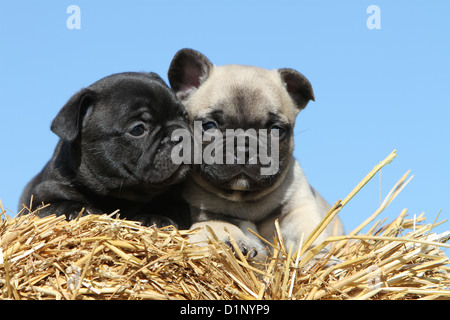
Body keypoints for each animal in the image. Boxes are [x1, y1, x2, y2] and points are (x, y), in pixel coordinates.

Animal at [19, 72, 191, 228]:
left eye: (184, 117)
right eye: (138, 129)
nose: (181, 135)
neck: (116, 195)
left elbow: (168, 207)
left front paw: (154, 217)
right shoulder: (42, 196)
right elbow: (54, 206)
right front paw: (78, 210)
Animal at [167, 48, 342, 256]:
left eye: (276, 130)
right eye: (210, 126)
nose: (243, 150)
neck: (244, 201)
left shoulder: (299, 208)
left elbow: (307, 235)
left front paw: (317, 256)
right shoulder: (200, 214)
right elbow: (216, 224)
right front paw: (236, 240)